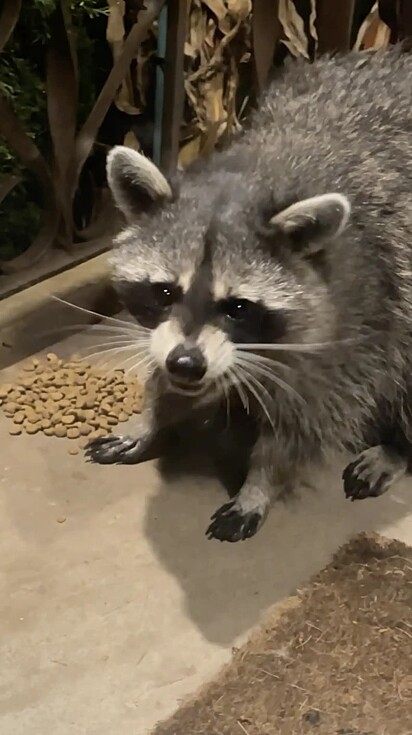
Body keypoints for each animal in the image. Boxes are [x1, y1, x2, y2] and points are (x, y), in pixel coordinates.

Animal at [85, 46, 412, 540]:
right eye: (164, 291)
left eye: (238, 307)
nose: (187, 364)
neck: (260, 169)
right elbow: (168, 372)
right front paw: (151, 416)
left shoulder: (356, 320)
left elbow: (303, 420)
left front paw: (260, 483)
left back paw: (398, 448)